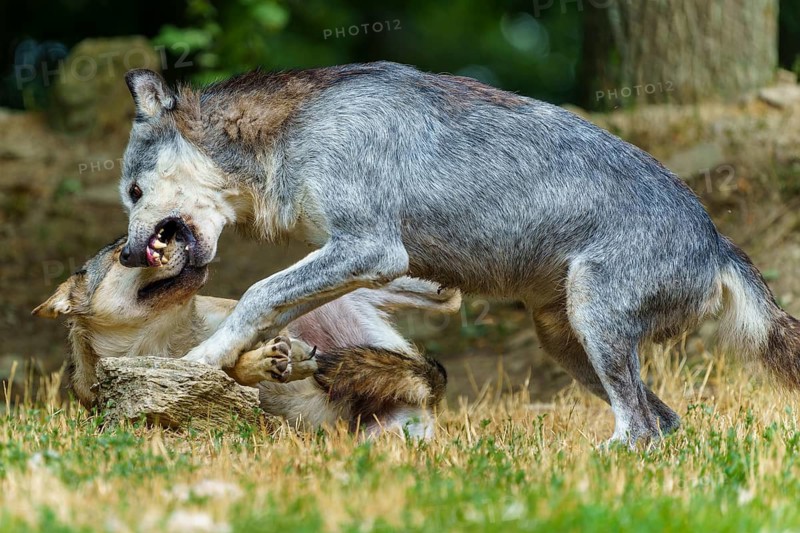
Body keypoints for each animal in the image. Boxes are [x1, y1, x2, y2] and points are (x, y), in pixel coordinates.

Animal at [33, 232, 458, 437]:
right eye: (125, 252)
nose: (183, 233)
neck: (168, 338)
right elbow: (229, 367)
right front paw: (267, 362)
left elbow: (242, 337)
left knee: (446, 297)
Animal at [116, 61, 800, 445]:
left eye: (132, 193)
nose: (124, 256)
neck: (295, 132)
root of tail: (718, 242)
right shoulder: (362, 265)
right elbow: (259, 313)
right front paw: (221, 364)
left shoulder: (371, 249)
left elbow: (257, 292)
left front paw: (193, 362)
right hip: (569, 343)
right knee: (665, 425)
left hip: (594, 328)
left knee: (640, 429)